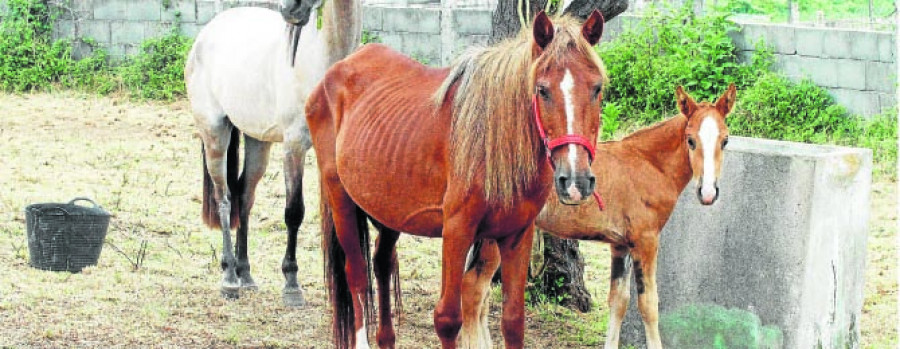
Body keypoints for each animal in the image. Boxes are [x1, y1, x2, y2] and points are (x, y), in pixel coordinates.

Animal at [185, 0, 360, 304]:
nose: (291, 9)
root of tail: (206, 34)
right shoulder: (294, 147)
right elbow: (294, 212)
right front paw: (291, 284)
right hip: (215, 134)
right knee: (224, 198)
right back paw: (229, 278)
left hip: (257, 142)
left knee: (244, 197)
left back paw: (245, 274)